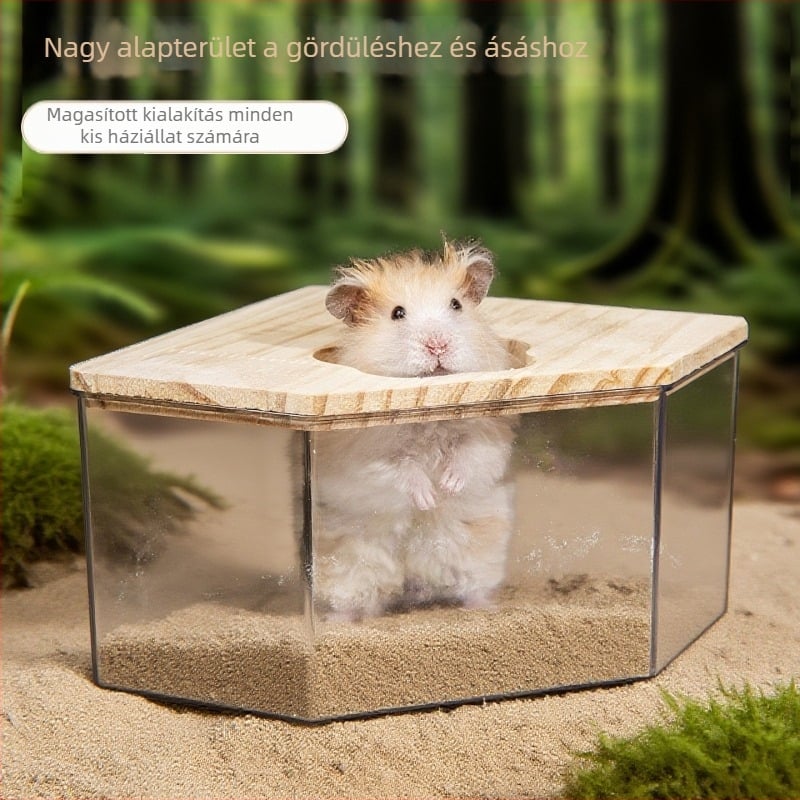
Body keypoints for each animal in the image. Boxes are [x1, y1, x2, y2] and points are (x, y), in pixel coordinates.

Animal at [313, 239, 517, 621]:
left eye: (456, 305)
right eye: (397, 313)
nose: (437, 345)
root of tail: (411, 580)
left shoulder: (487, 435)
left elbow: (470, 455)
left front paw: (449, 486)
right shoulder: (364, 455)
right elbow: (401, 468)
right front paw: (428, 498)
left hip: (477, 554)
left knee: (473, 587)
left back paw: (485, 609)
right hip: (351, 569)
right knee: (354, 600)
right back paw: (337, 622)